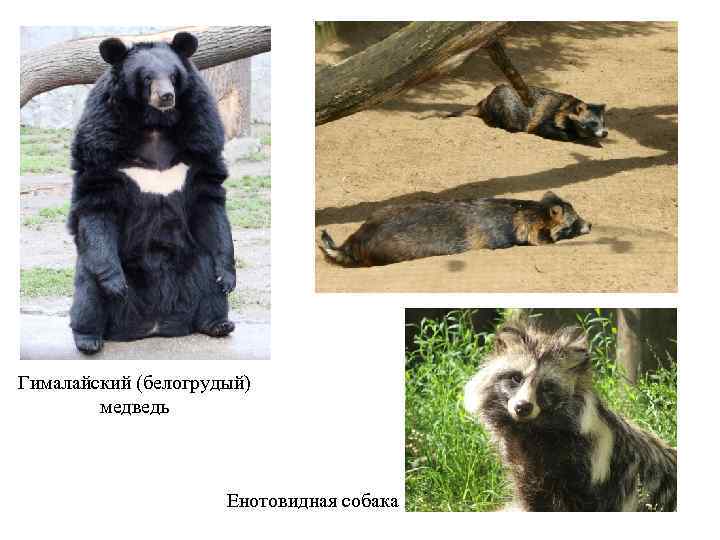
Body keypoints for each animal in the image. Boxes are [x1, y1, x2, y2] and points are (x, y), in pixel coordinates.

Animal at [68, 32, 236, 355]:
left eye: (173, 76)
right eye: (146, 77)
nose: (166, 96)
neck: (155, 123)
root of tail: (154, 325)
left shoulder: (202, 133)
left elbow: (208, 197)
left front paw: (228, 277)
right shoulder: (101, 136)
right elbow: (97, 198)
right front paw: (115, 285)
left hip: (193, 260)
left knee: (209, 279)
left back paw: (218, 323)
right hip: (92, 265)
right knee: (87, 292)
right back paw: (89, 339)